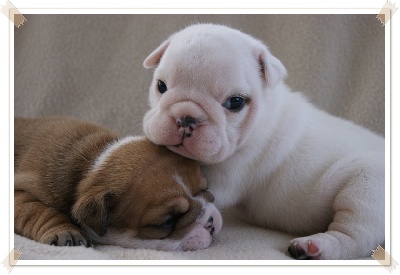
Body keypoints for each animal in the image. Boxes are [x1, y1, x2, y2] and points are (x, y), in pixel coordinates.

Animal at [14, 116, 222, 252]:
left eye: (206, 190)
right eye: (167, 221)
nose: (210, 222)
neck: (91, 164)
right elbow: (37, 210)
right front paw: (65, 231)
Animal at [142, 23, 386, 260]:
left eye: (235, 102)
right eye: (161, 86)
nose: (185, 118)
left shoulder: (228, 176)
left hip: (367, 186)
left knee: (355, 236)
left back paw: (315, 246)